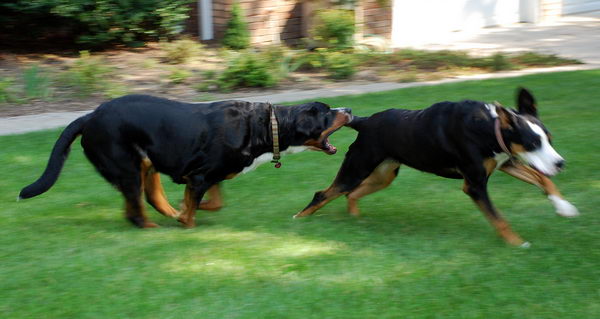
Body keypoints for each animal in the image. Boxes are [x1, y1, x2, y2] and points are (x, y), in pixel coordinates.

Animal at [19, 96, 352, 229]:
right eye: (326, 112)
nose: (348, 109)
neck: (263, 125)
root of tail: (90, 116)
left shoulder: (208, 177)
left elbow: (212, 202)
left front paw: (182, 210)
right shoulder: (200, 176)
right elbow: (193, 212)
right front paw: (186, 220)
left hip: (146, 163)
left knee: (148, 199)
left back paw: (166, 213)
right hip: (128, 166)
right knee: (135, 210)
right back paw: (151, 226)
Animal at [294, 89, 576, 246]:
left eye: (549, 140)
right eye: (533, 143)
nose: (561, 163)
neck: (487, 127)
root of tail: (365, 121)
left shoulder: (507, 162)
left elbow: (544, 179)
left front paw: (564, 207)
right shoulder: (474, 184)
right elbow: (499, 218)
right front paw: (517, 243)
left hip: (383, 175)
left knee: (351, 194)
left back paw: (355, 218)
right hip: (356, 169)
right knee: (325, 193)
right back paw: (299, 220)